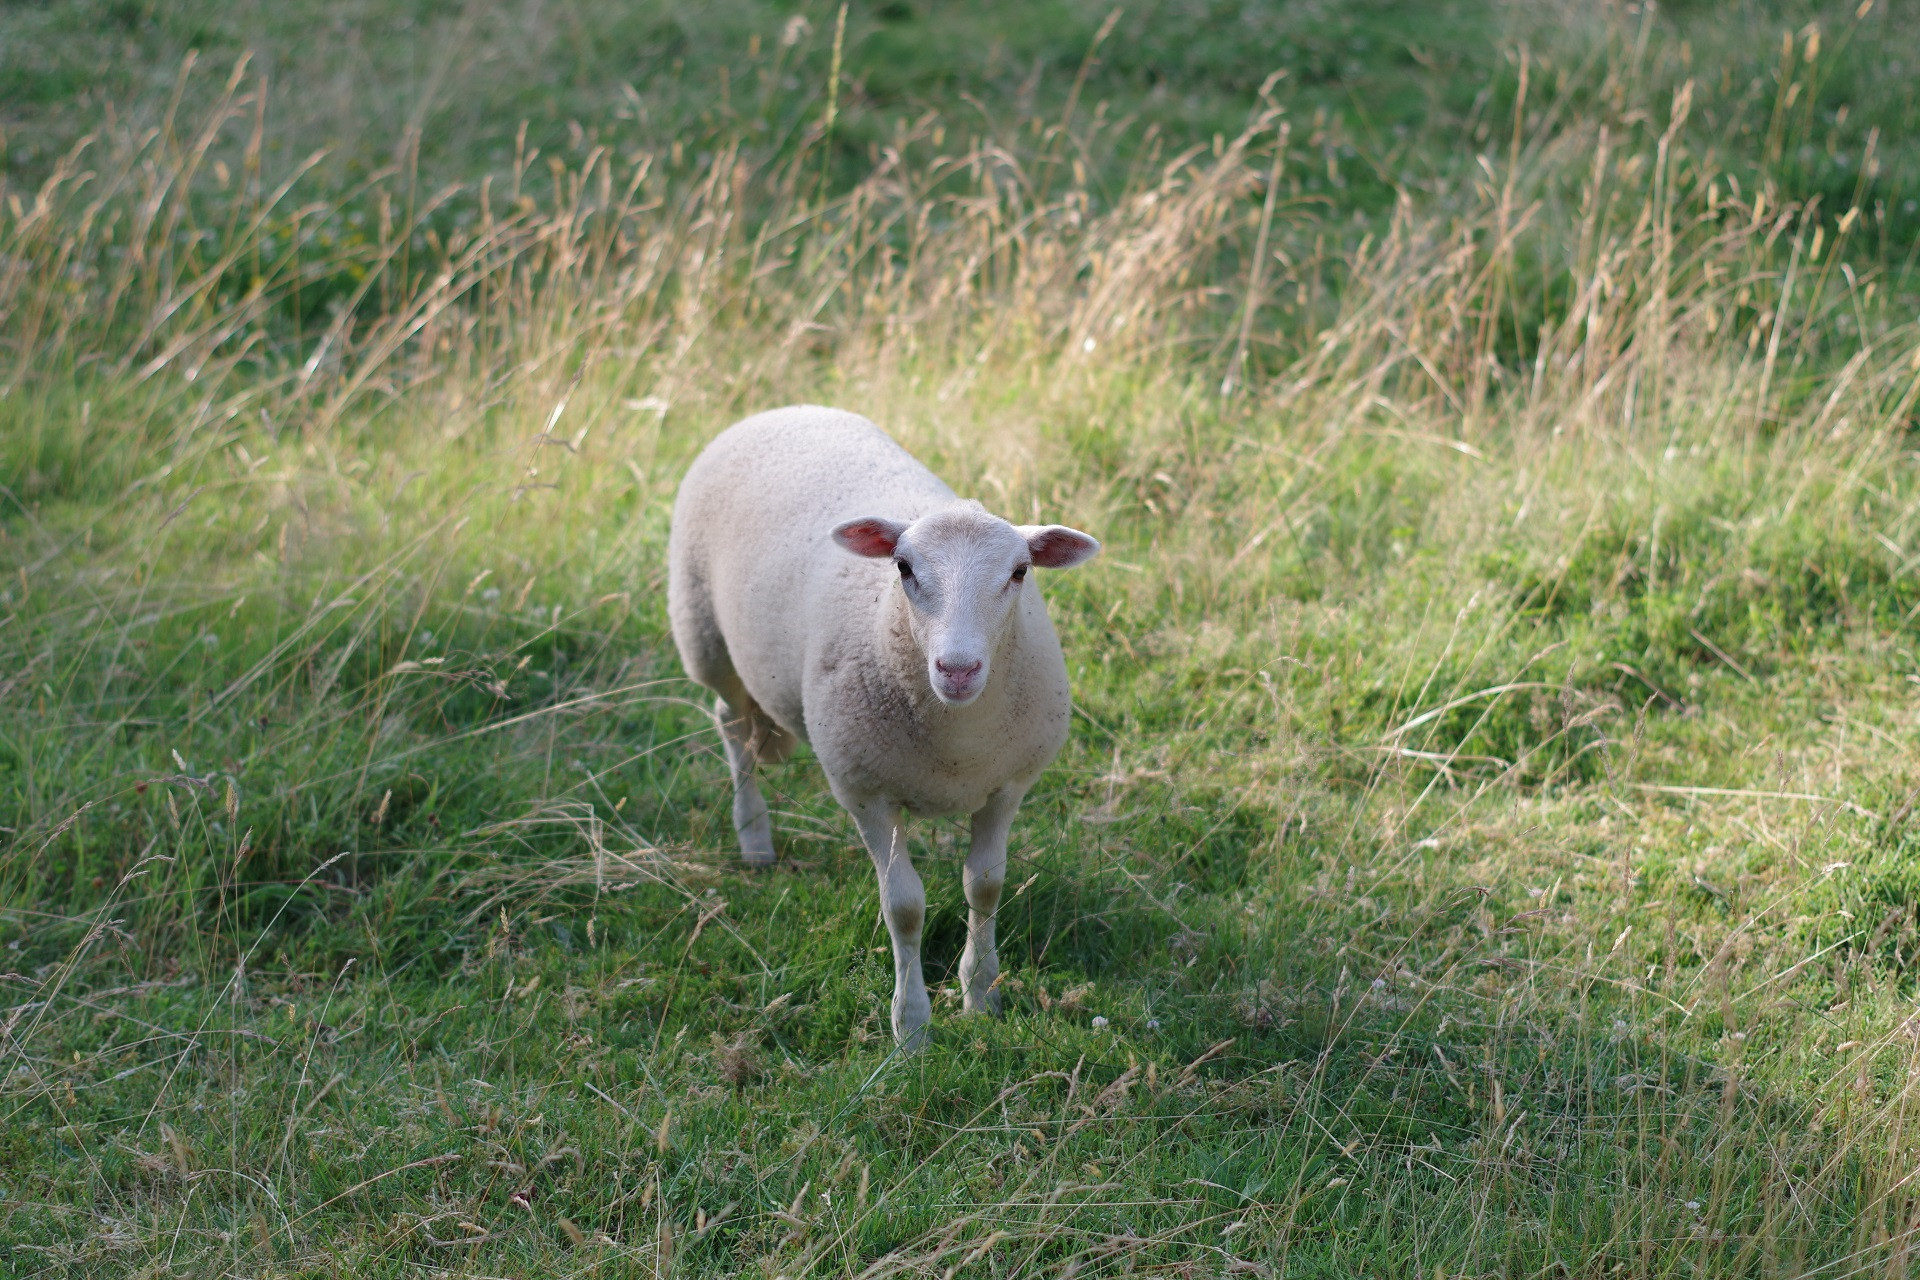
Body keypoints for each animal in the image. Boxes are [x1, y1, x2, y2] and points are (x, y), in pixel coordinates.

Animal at [672, 404, 1098, 1043]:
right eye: (902, 567)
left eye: (1021, 571)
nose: (957, 668)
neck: (958, 739)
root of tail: (786, 408)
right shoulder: (864, 792)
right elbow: (904, 907)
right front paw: (911, 1028)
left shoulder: (1007, 786)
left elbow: (985, 884)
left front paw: (980, 997)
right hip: (705, 638)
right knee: (731, 725)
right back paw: (754, 838)